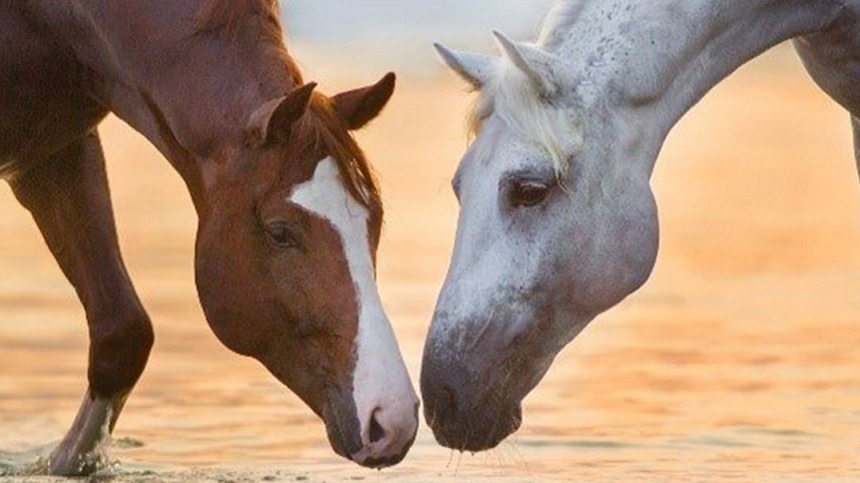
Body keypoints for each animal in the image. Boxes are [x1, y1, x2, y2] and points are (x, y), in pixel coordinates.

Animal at [0, 0, 416, 476]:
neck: (53, 20)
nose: (391, 419)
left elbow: (121, 334)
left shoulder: (52, 153)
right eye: (280, 232)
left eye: (374, 220)